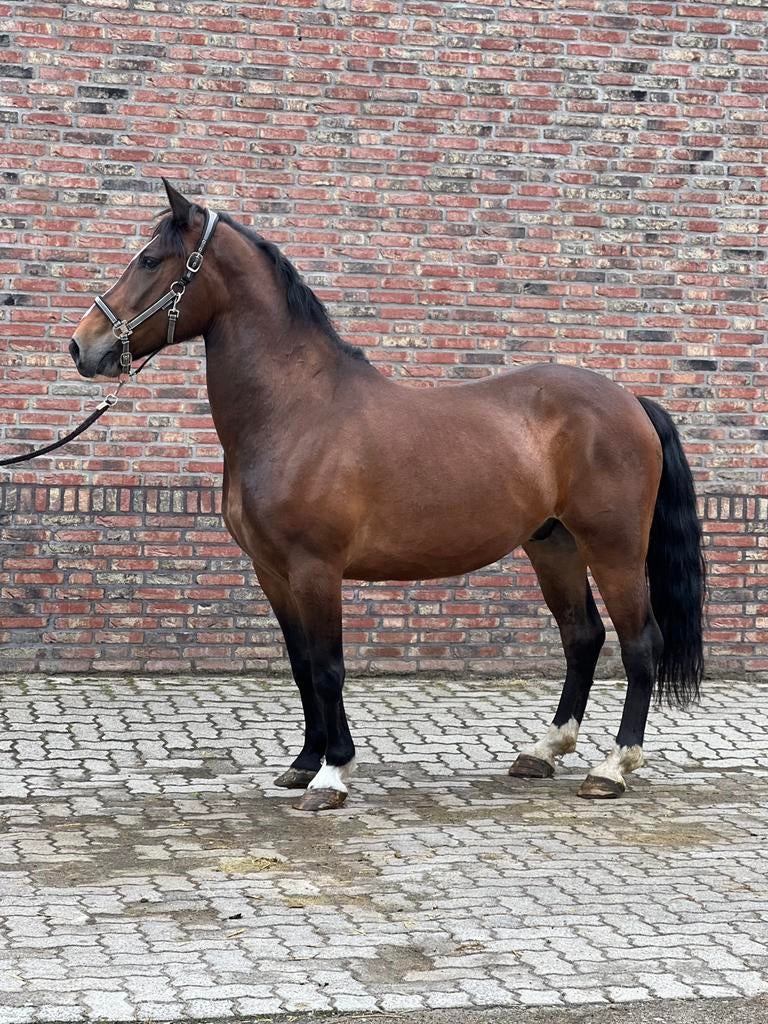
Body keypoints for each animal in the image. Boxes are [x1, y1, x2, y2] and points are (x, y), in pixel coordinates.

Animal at [70, 180, 705, 812]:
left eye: (150, 260)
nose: (82, 346)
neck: (296, 411)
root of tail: (631, 401)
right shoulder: (272, 573)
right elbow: (302, 666)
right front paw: (304, 763)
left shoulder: (316, 569)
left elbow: (328, 667)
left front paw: (331, 775)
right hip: (554, 546)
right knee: (583, 636)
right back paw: (543, 752)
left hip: (614, 549)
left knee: (640, 643)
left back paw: (613, 768)